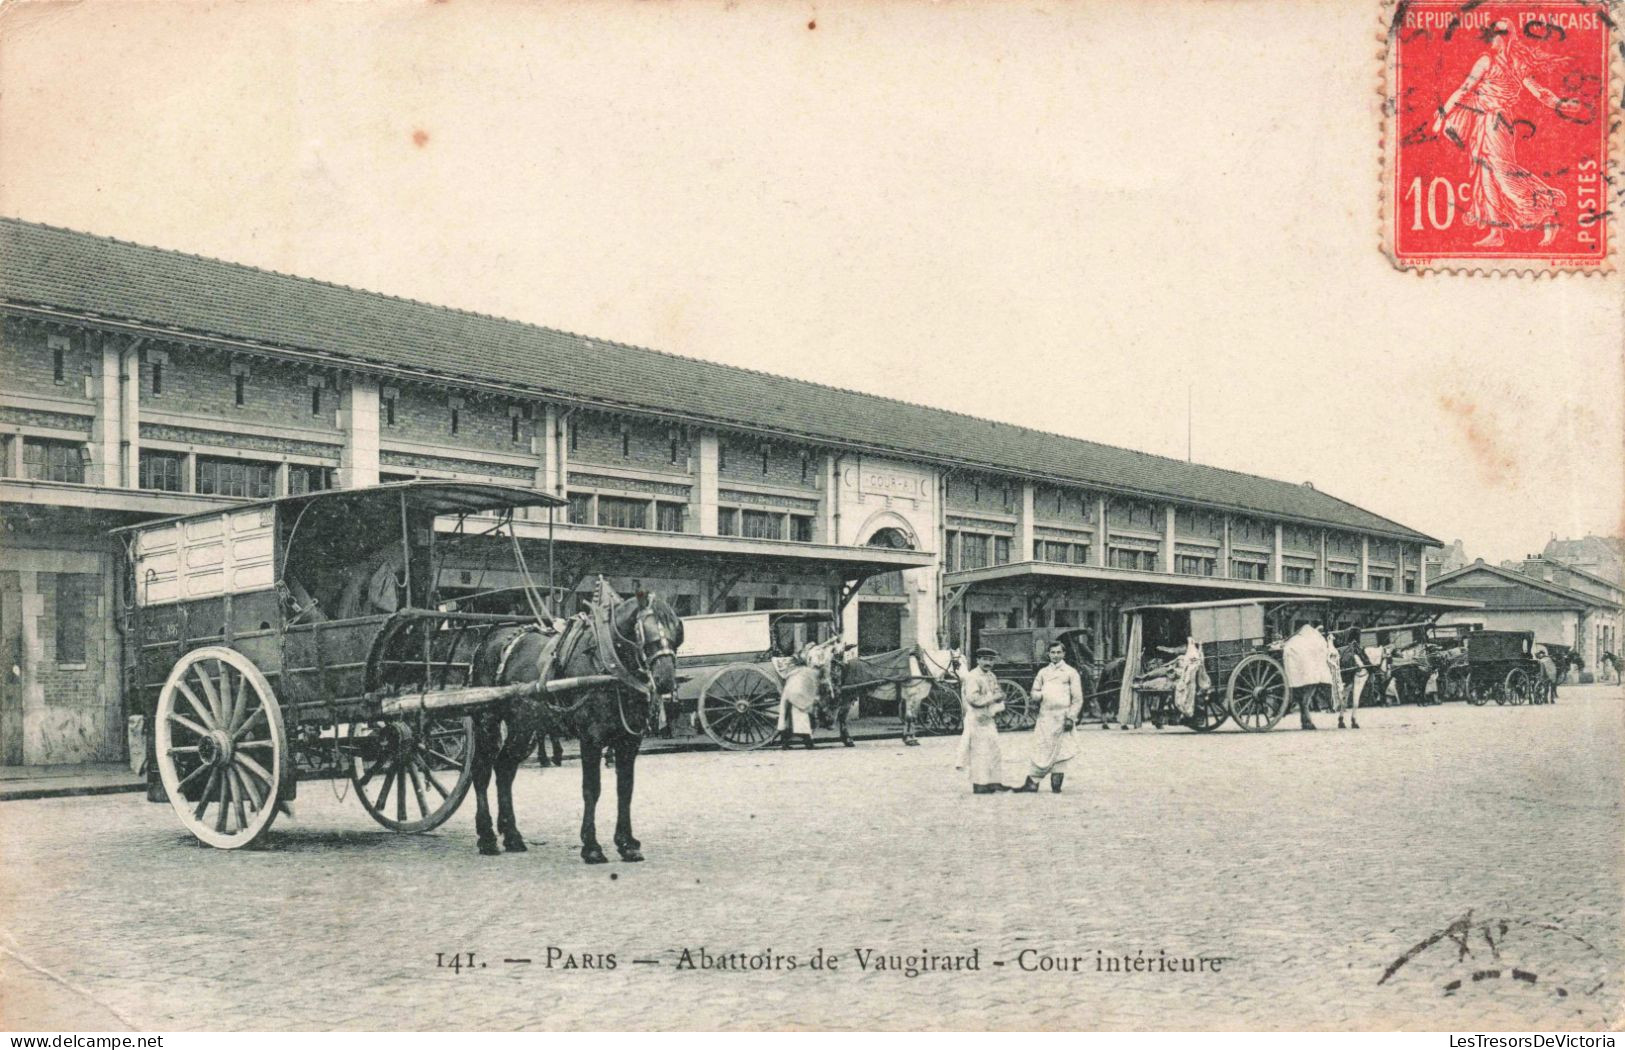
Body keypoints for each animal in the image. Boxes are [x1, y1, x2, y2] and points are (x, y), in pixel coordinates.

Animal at [468, 591, 682, 864]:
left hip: (524, 727)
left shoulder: (629, 741)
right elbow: (592, 789)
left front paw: (626, 843)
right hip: (487, 720)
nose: (665, 680)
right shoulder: (591, 738)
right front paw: (591, 846)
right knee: (481, 771)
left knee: (504, 769)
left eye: (677, 629)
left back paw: (512, 835)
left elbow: (625, 790)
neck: (609, 665)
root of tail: (490, 637)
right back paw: (486, 837)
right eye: (645, 629)